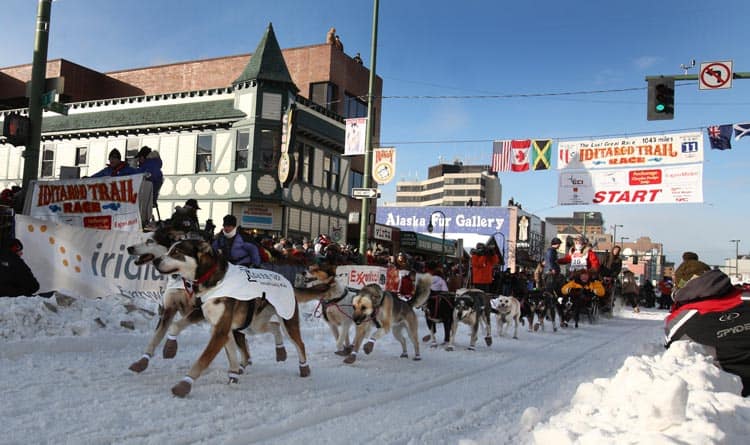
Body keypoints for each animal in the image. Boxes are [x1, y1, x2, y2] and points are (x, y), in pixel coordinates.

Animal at [153, 239, 312, 396]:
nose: (155, 260)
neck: (215, 280)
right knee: (274, 326)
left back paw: (304, 368)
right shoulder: (211, 320)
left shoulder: (220, 331)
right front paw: (170, 347)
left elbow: (202, 361)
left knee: (300, 343)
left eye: (176, 252)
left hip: (287, 321)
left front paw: (184, 384)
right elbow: (176, 325)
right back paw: (280, 352)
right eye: (170, 249)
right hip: (253, 326)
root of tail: (288, 282)